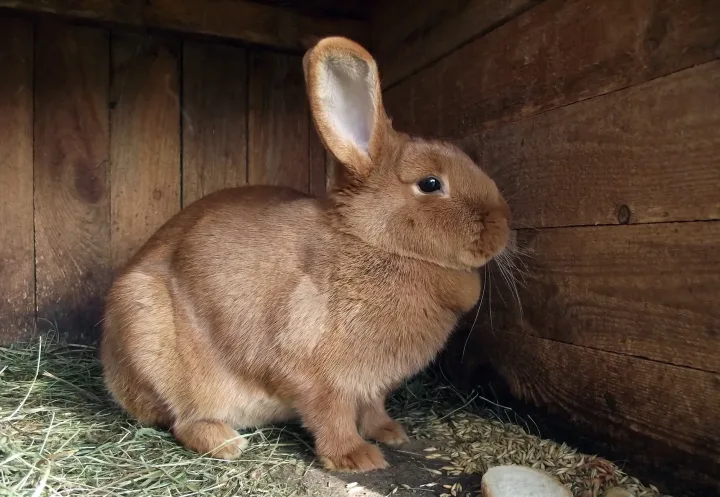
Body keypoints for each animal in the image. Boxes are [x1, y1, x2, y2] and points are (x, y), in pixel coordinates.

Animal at [100, 36, 511, 472]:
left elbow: (373, 408)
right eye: (431, 184)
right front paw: (357, 458)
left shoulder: (372, 385)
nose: (503, 226)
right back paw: (226, 442)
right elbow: (330, 414)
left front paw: (390, 433)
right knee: (182, 419)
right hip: (149, 336)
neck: (375, 242)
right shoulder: (313, 370)